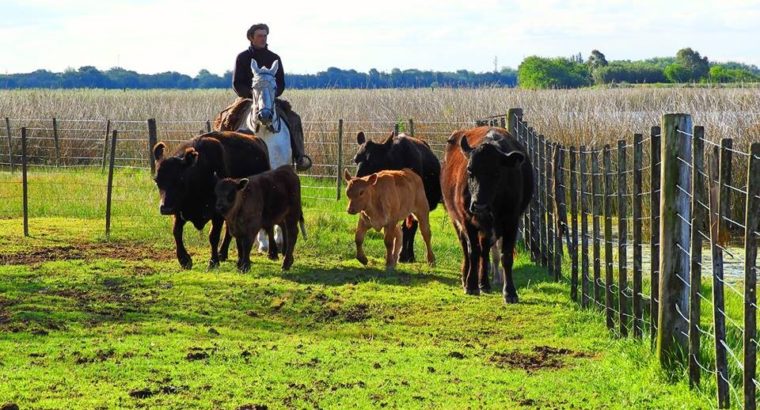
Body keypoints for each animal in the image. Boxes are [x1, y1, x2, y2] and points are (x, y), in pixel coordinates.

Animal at [152, 131, 270, 270]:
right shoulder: (178, 211)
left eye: (180, 179)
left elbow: (213, 236)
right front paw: (184, 259)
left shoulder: (217, 213)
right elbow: (177, 232)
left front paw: (213, 261)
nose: (165, 208)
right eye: (157, 180)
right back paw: (222, 253)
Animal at [354, 131, 442, 262]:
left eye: (372, 161)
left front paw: (404, 255)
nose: (357, 181)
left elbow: (407, 228)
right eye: (355, 160)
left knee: (412, 226)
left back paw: (408, 255)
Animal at [440, 126, 536, 302]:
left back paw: (484, 283)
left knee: (484, 250)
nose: (479, 206)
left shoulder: (512, 221)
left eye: (497, 173)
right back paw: (466, 278)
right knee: (467, 248)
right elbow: (473, 252)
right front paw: (471, 285)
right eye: (469, 171)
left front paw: (510, 292)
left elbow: (506, 256)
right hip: (456, 220)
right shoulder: (467, 220)